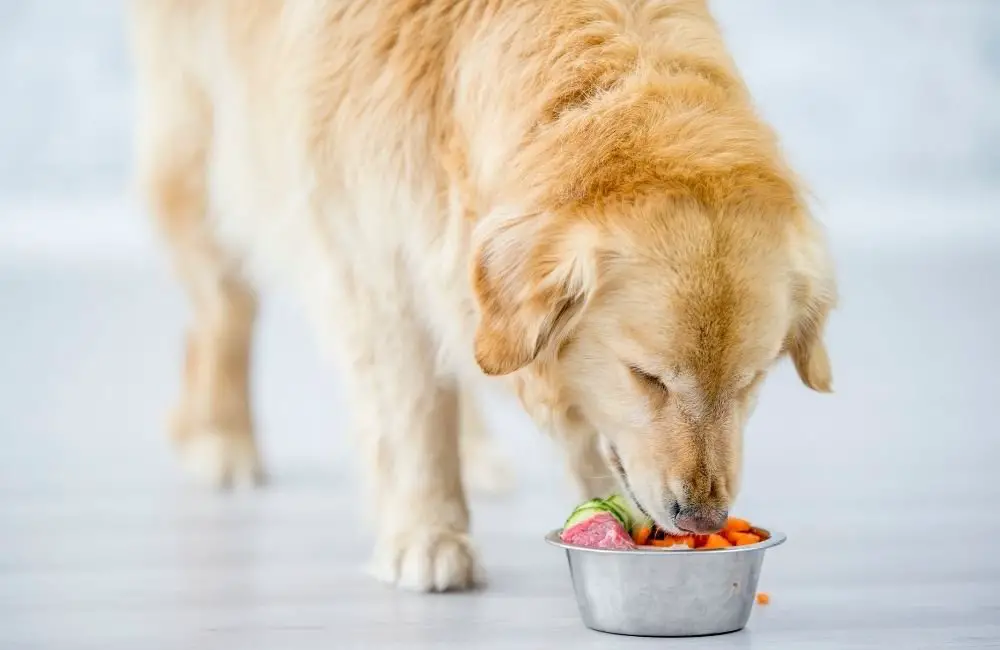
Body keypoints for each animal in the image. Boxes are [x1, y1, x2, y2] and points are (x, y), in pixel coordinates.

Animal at [131, 0, 836, 588]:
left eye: (750, 383)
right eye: (648, 378)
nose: (703, 518)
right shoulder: (376, 261)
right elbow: (413, 410)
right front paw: (428, 536)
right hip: (204, 154)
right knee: (224, 312)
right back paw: (221, 437)